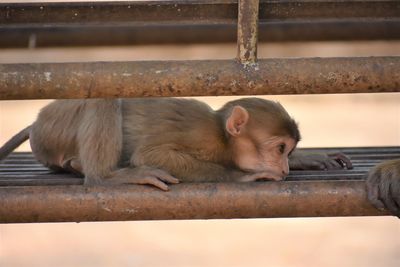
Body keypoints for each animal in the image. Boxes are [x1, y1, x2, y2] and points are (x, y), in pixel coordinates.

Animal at [0, 97, 350, 192]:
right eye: (279, 149)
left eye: (289, 151)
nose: (286, 166)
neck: (223, 138)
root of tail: (37, 122)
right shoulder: (201, 135)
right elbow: (151, 153)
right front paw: (242, 176)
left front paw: (309, 159)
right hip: (57, 124)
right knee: (104, 96)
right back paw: (104, 177)